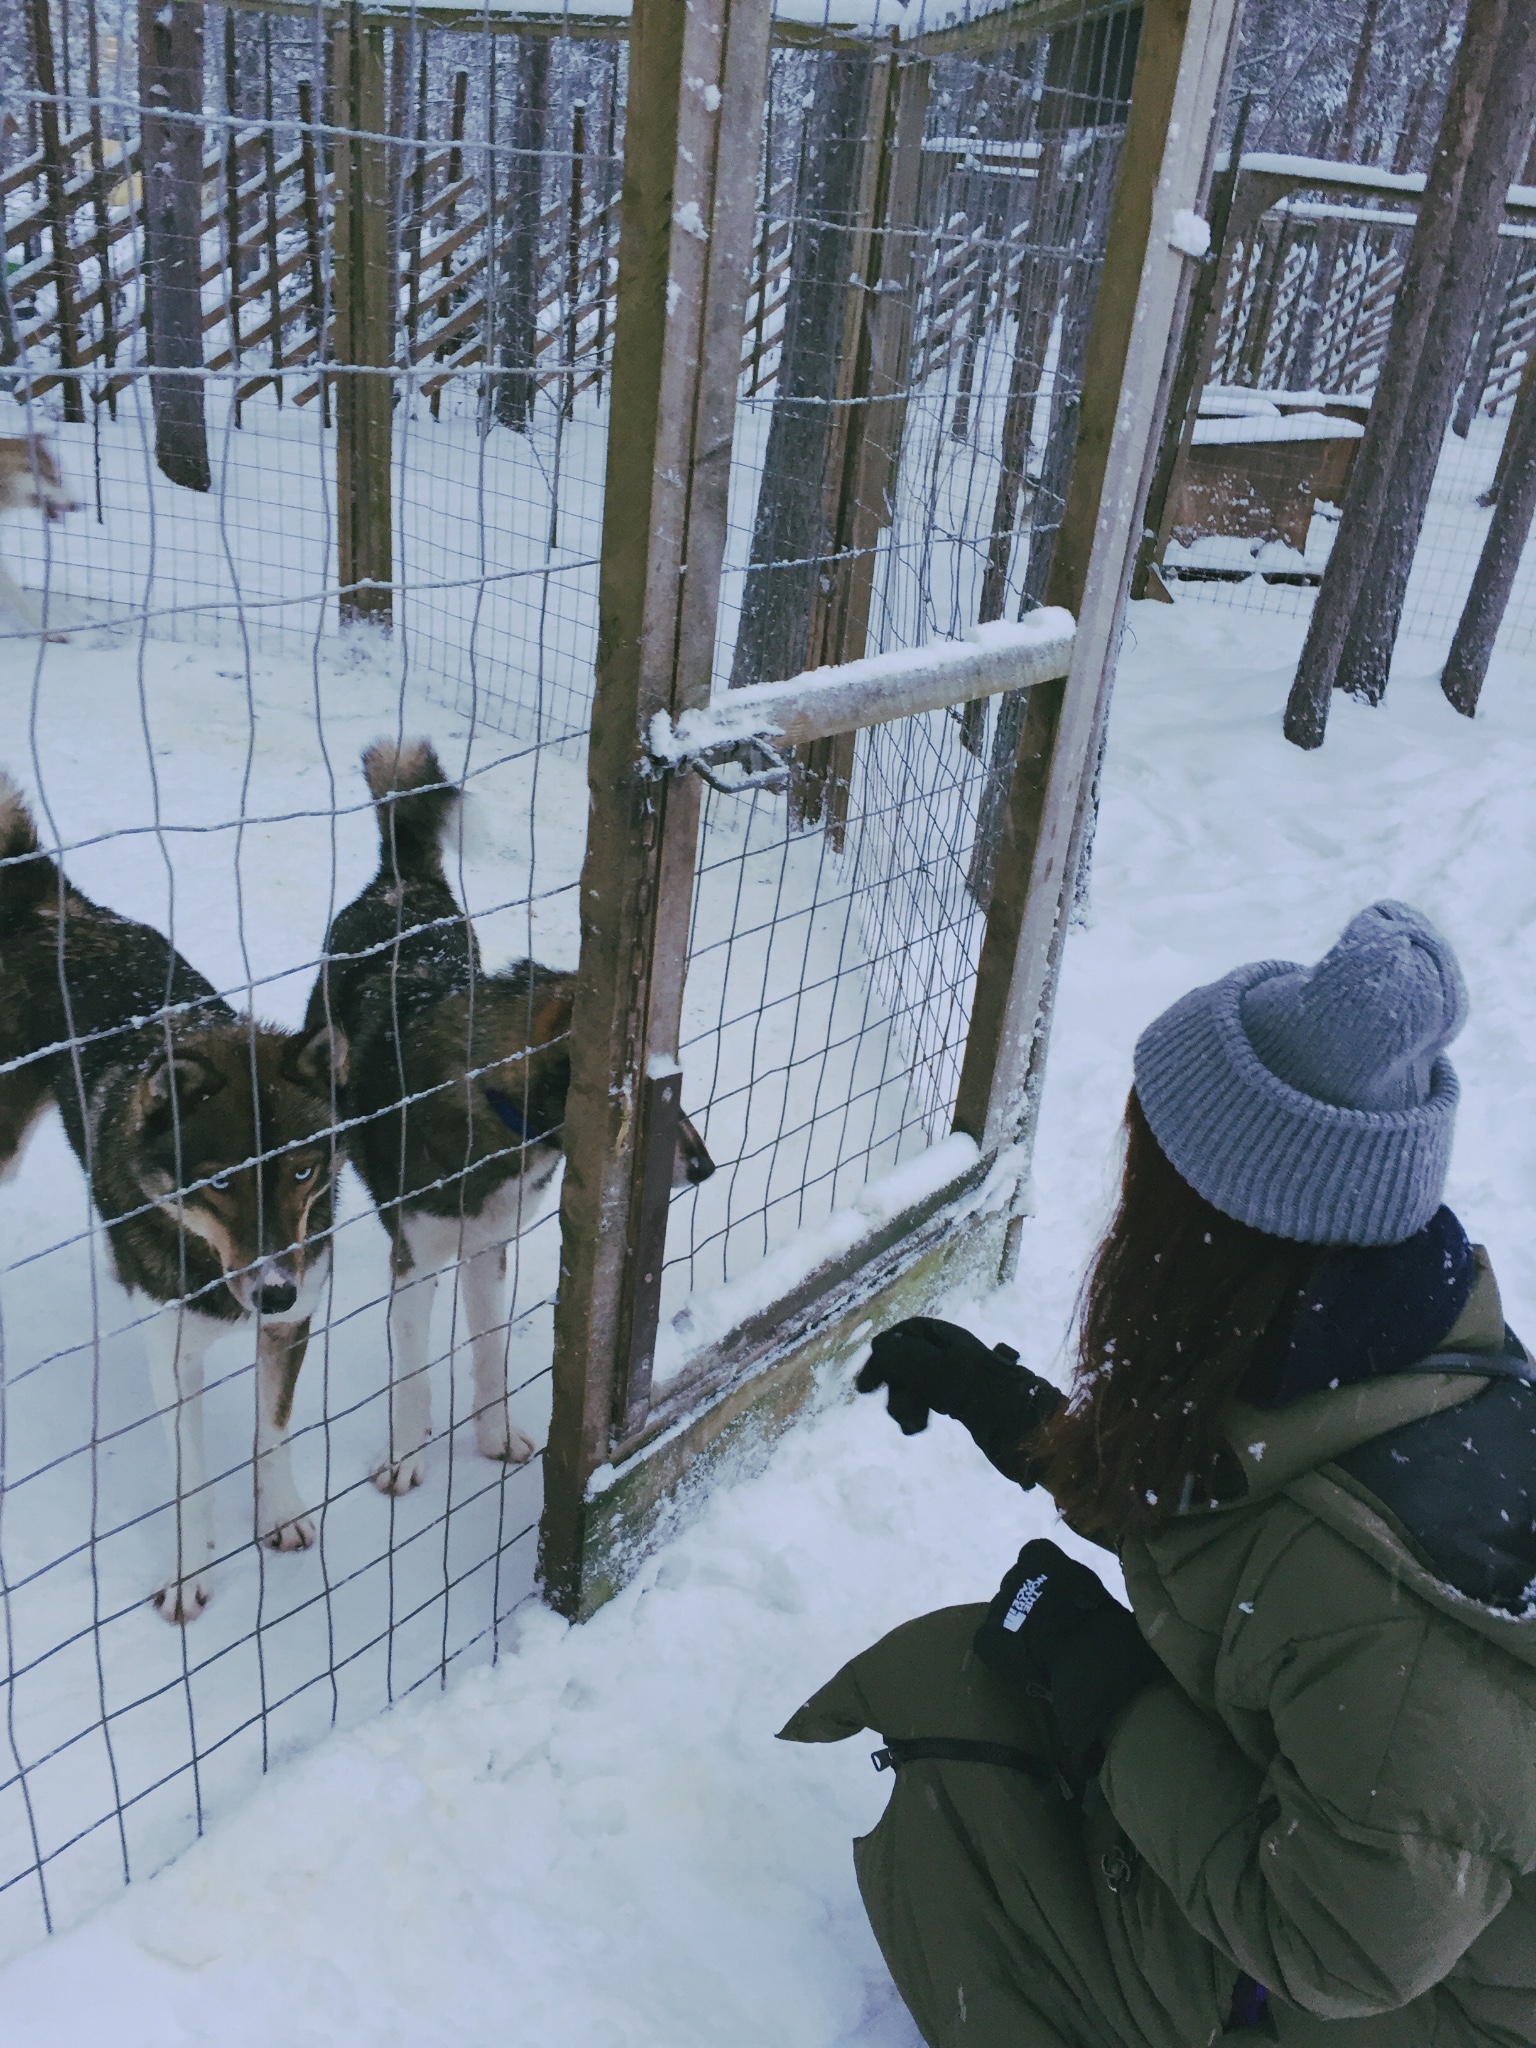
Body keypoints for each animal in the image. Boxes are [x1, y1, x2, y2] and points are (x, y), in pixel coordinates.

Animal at [0, 774, 348, 1622]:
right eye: (220, 1181)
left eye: (300, 1171)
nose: (275, 1291)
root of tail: (53, 900)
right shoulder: (171, 1352)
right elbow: (191, 1480)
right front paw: (191, 1578)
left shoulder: (293, 1323)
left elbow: (272, 1433)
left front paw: (281, 1515)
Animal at [313, 745, 720, 1499]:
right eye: (631, 1090)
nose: (707, 1168)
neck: (499, 1120)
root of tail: (403, 880)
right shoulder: (416, 1262)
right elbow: (412, 1379)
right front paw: (405, 1460)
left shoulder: (488, 1251)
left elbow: (490, 1355)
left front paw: (495, 1436)